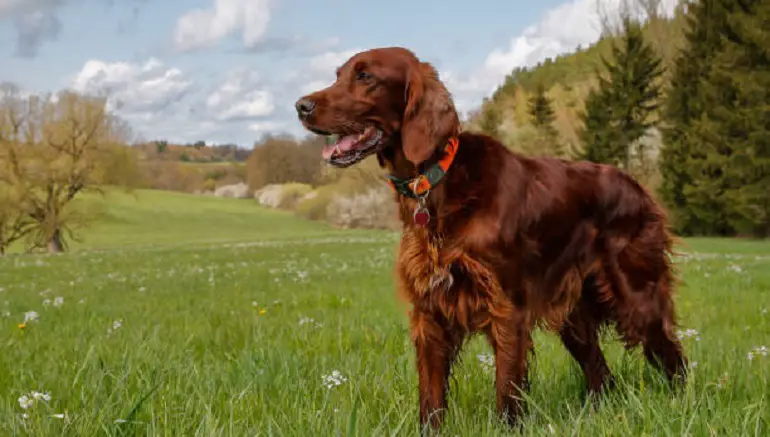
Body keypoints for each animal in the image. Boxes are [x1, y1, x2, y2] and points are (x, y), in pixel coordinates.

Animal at [292, 46, 684, 430]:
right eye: (338, 75)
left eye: (365, 76)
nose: (301, 106)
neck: (435, 184)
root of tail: (639, 188)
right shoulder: (429, 313)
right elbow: (430, 401)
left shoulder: (506, 307)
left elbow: (507, 394)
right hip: (573, 315)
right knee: (602, 373)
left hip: (638, 296)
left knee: (672, 357)